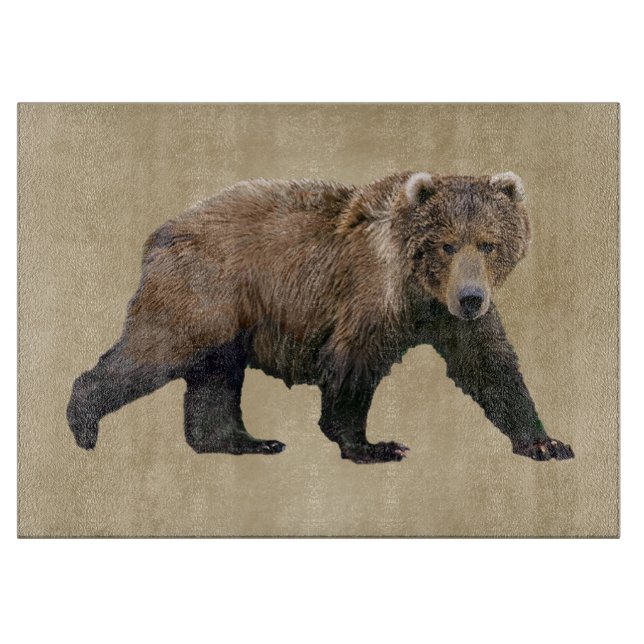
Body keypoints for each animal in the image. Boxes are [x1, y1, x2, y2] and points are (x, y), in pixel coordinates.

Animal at [67, 172, 574, 464]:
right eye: (447, 243)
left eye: (489, 243)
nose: (471, 297)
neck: (420, 291)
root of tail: (162, 230)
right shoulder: (369, 293)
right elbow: (353, 364)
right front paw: (373, 446)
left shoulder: (449, 316)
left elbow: (490, 367)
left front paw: (546, 443)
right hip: (205, 290)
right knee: (158, 348)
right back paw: (83, 420)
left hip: (232, 316)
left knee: (216, 374)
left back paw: (244, 440)